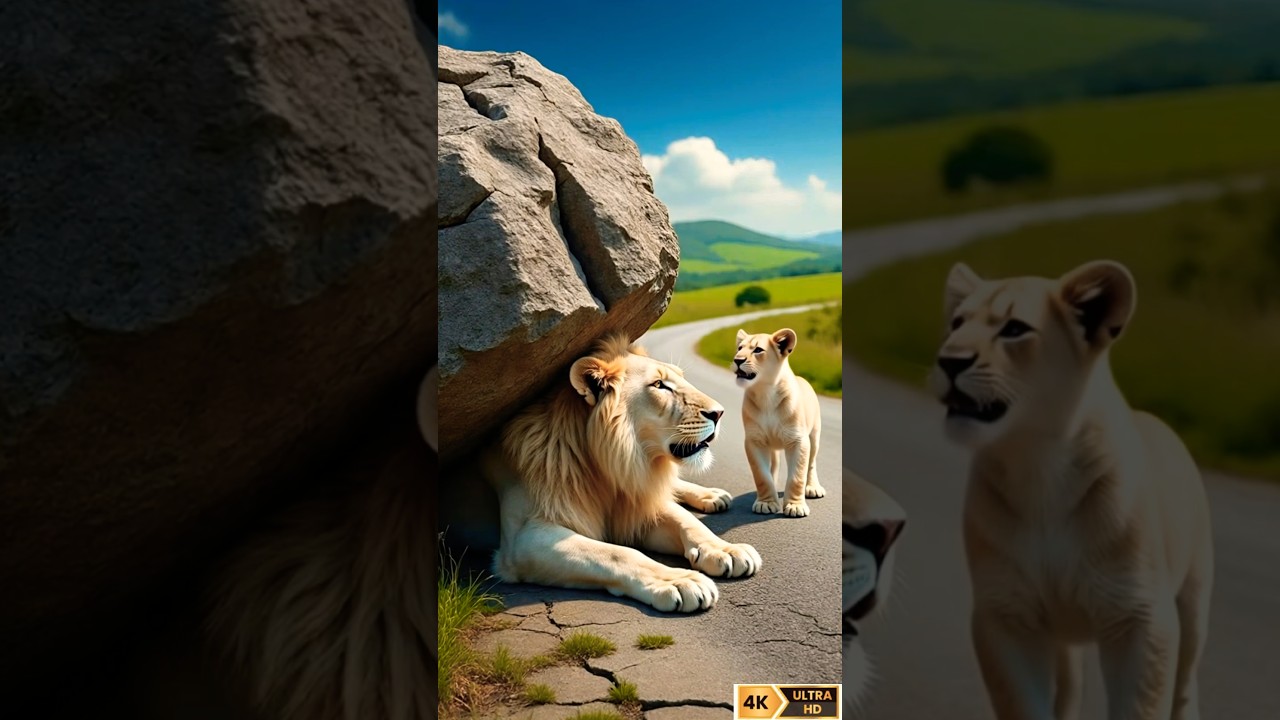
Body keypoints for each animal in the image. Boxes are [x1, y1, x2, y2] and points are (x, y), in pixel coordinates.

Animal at [484, 333, 762, 612]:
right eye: (659, 385)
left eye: (681, 378)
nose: (719, 413)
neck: (610, 469)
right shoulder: (524, 539)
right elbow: (618, 553)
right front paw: (679, 580)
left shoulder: (638, 501)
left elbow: (686, 520)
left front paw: (727, 550)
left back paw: (712, 495)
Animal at [733, 327, 825, 517]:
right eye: (739, 348)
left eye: (758, 350)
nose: (737, 360)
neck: (765, 393)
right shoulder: (755, 441)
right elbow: (761, 475)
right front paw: (766, 503)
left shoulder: (798, 440)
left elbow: (797, 475)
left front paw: (795, 507)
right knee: (773, 466)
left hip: (814, 437)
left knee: (811, 464)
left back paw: (813, 488)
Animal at [931, 260, 1214, 720]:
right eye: (956, 323)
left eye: (1014, 329)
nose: (948, 361)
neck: (1038, 467)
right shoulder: (1005, 614)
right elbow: (1025, 705)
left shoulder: (1141, 615)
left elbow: (1142, 705)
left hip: (1193, 601)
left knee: (1186, 684)